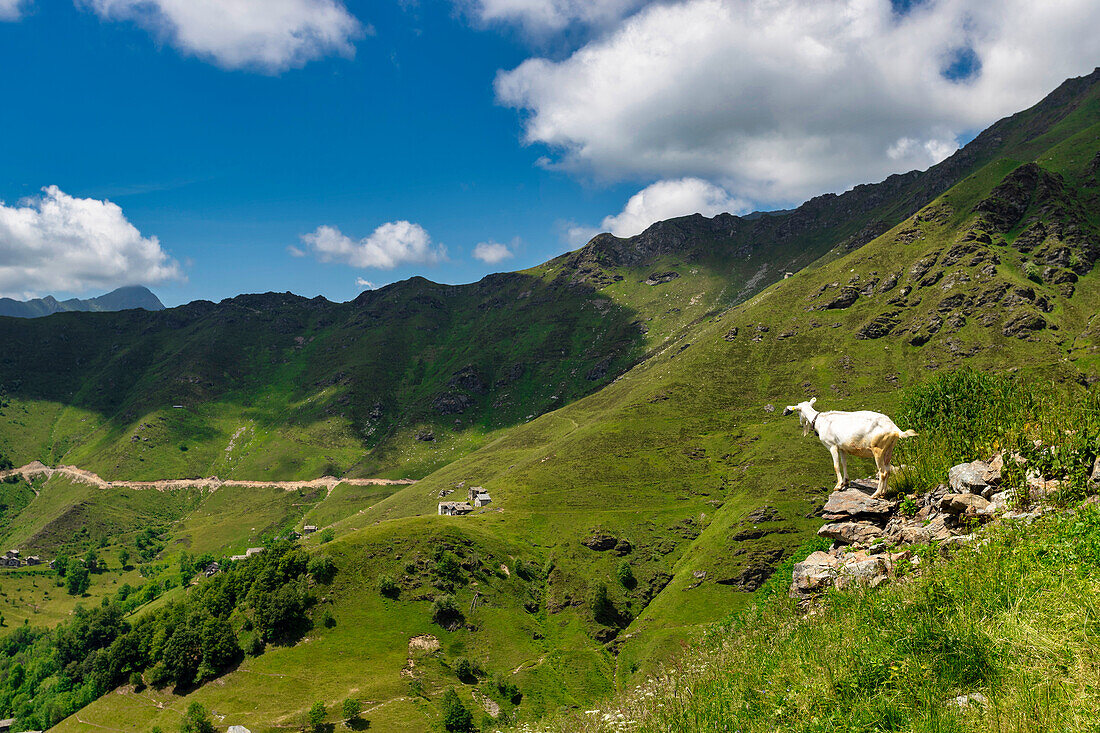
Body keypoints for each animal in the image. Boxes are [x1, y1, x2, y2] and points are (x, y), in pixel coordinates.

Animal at [783, 396, 919, 499]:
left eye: (797, 410)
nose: (801, 423)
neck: (821, 421)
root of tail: (895, 429)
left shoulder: (832, 446)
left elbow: (836, 465)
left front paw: (838, 486)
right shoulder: (842, 447)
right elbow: (844, 464)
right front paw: (845, 482)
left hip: (878, 449)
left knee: (883, 472)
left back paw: (876, 494)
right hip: (889, 449)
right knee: (888, 469)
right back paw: (883, 493)